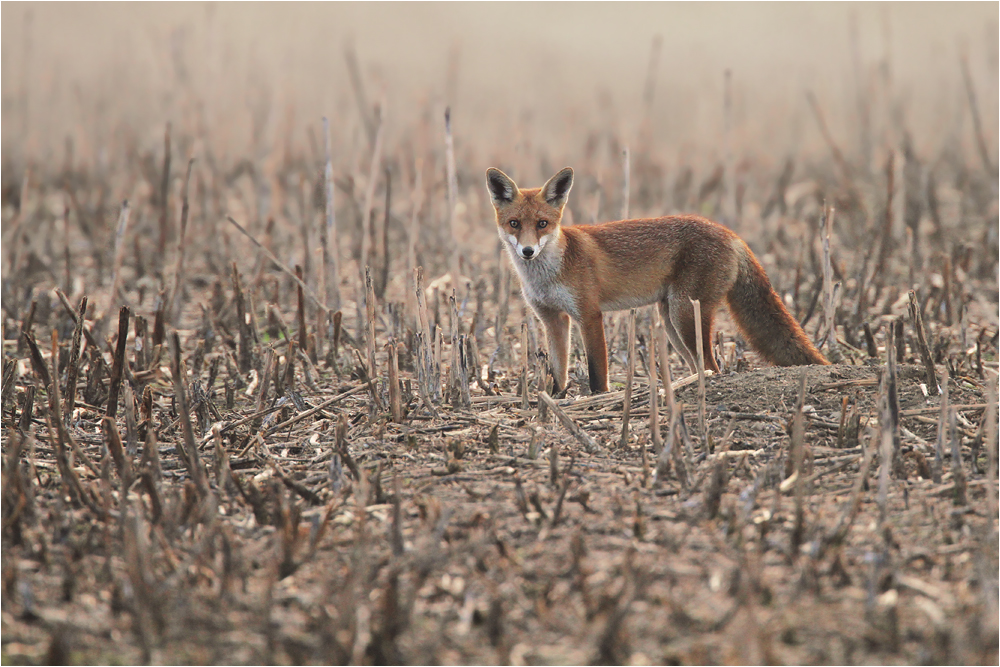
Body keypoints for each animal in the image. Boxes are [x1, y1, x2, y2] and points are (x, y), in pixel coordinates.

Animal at [488, 168, 832, 396]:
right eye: (514, 224)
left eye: (542, 224)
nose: (528, 251)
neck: (549, 272)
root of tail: (730, 233)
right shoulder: (553, 320)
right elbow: (557, 372)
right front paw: (555, 401)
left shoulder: (589, 315)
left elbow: (598, 373)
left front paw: (598, 400)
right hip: (671, 321)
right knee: (699, 366)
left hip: (685, 315)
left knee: (712, 366)